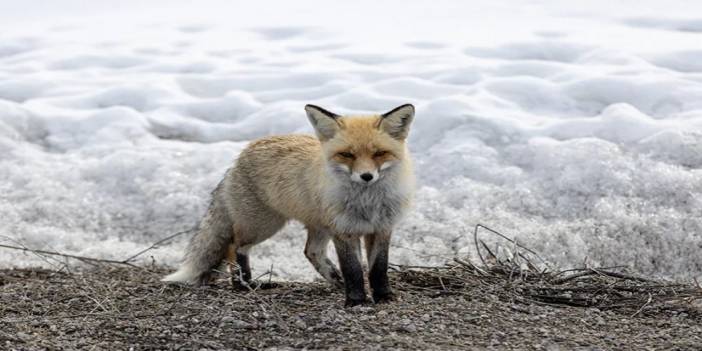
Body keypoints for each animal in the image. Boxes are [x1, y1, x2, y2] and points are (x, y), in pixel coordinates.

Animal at [164, 103, 418, 306]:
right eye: (347, 154)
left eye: (380, 153)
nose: (366, 177)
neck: (368, 204)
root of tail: (241, 155)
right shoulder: (344, 230)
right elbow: (353, 269)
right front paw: (356, 301)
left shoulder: (381, 228)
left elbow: (378, 268)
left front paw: (383, 296)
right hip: (263, 225)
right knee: (234, 247)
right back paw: (243, 284)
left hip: (317, 225)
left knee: (311, 251)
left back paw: (334, 280)